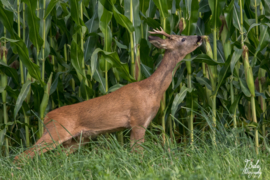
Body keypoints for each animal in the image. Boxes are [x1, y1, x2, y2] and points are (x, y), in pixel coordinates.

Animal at [13, 28, 201, 162]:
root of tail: (46, 117)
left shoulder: (141, 124)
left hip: (75, 140)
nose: (199, 37)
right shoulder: (138, 121)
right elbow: (138, 153)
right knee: (22, 155)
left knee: (57, 158)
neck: (152, 90)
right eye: (183, 39)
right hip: (56, 132)